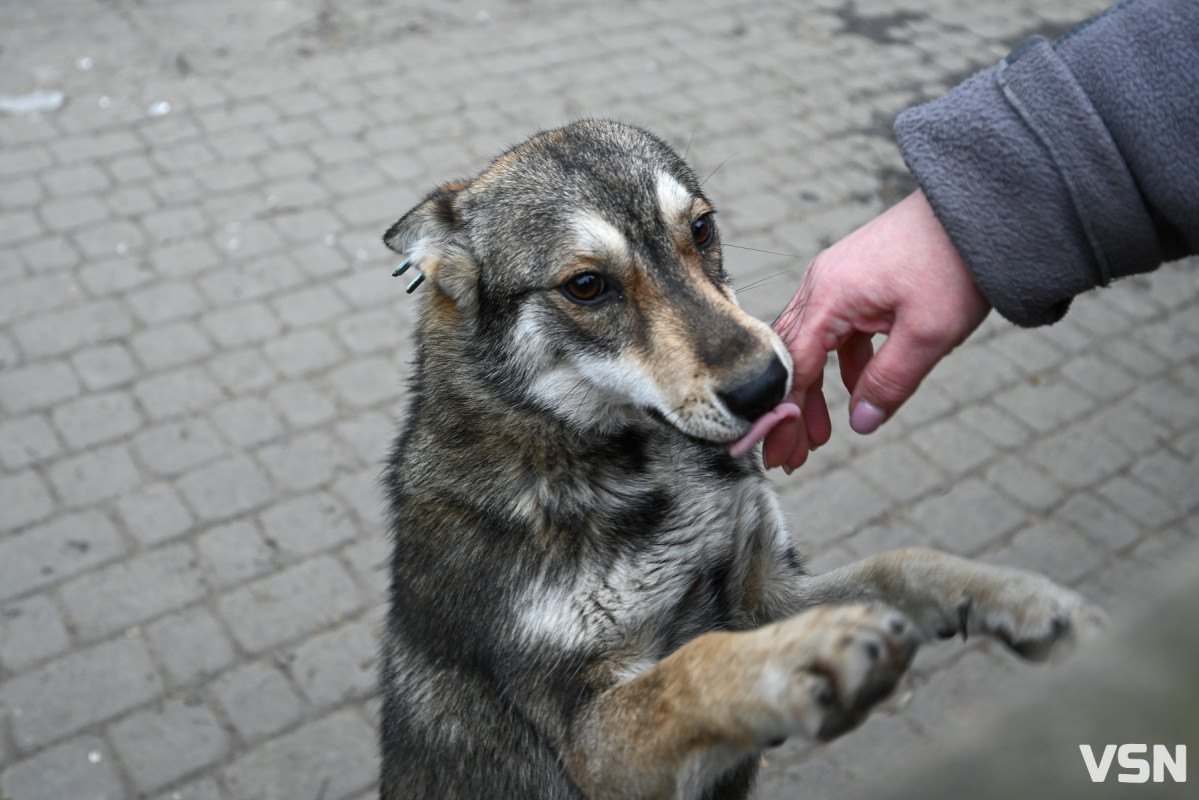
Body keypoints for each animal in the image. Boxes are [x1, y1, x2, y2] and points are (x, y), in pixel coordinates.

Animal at [378, 120, 1098, 800]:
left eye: (701, 228)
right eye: (585, 285)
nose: (765, 386)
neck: (651, 466)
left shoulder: (765, 594)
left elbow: (903, 564)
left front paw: (1021, 597)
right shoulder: (594, 739)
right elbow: (697, 664)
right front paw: (803, 658)